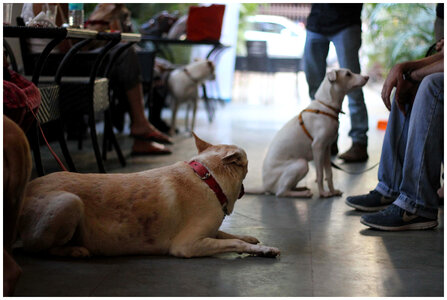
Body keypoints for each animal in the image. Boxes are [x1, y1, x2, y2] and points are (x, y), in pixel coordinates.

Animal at [20, 134, 280, 258]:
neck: (207, 178)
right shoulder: (188, 244)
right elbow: (231, 242)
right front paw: (263, 249)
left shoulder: (206, 232)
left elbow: (227, 234)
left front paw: (251, 240)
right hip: (69, 202)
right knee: (35, 248)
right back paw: (74, 250)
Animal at [260, 69, 370, 198]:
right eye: (348, 74)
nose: (367, 77)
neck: (326, 106)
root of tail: (265, 186)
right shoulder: (317, 147)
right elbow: (320, 174)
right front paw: (323, 193)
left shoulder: (326, 148)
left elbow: (329, 173)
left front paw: (333, 191)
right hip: (301, 164)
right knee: (281, 192)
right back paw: (303, 193)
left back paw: (301, 188)